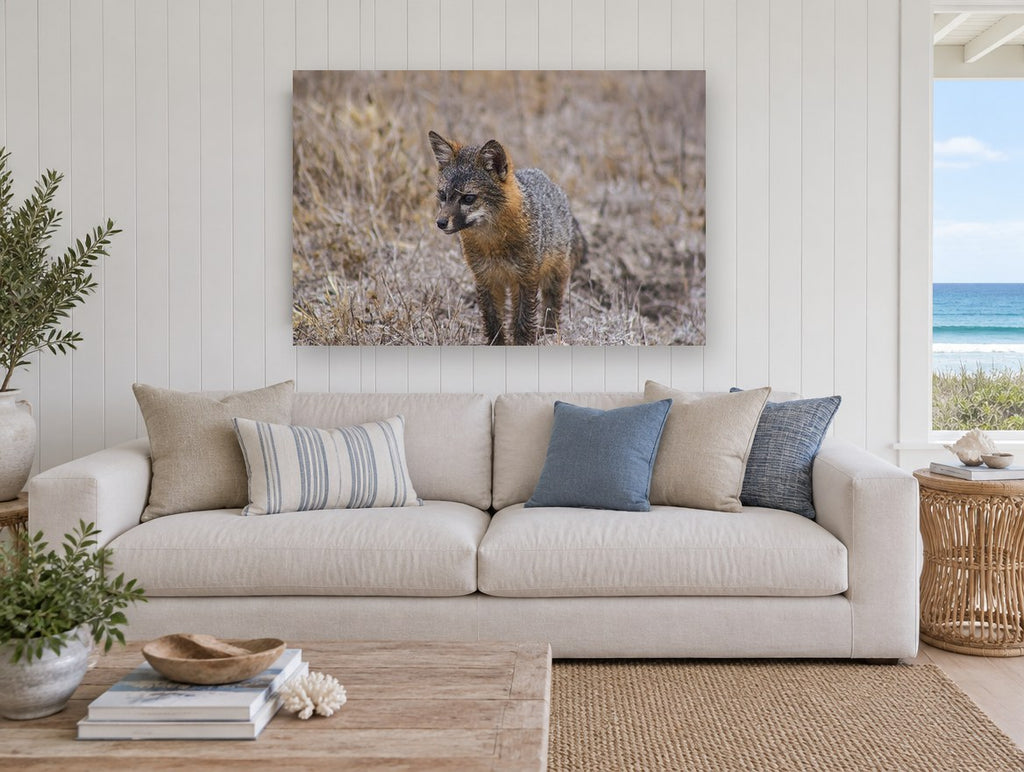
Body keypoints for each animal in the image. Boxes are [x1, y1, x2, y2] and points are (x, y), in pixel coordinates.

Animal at [428, 130, 587, 346]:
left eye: (468, 198)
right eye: (443, 195)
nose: (441, 222)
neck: (493, 245)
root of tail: (549, 180)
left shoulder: (526, 278)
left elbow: (524, 320)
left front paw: (522, 343)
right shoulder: (486, 278)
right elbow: (493, 320)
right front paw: (498, 344)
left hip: (554, 275)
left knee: (551, 307)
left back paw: (550, 333)